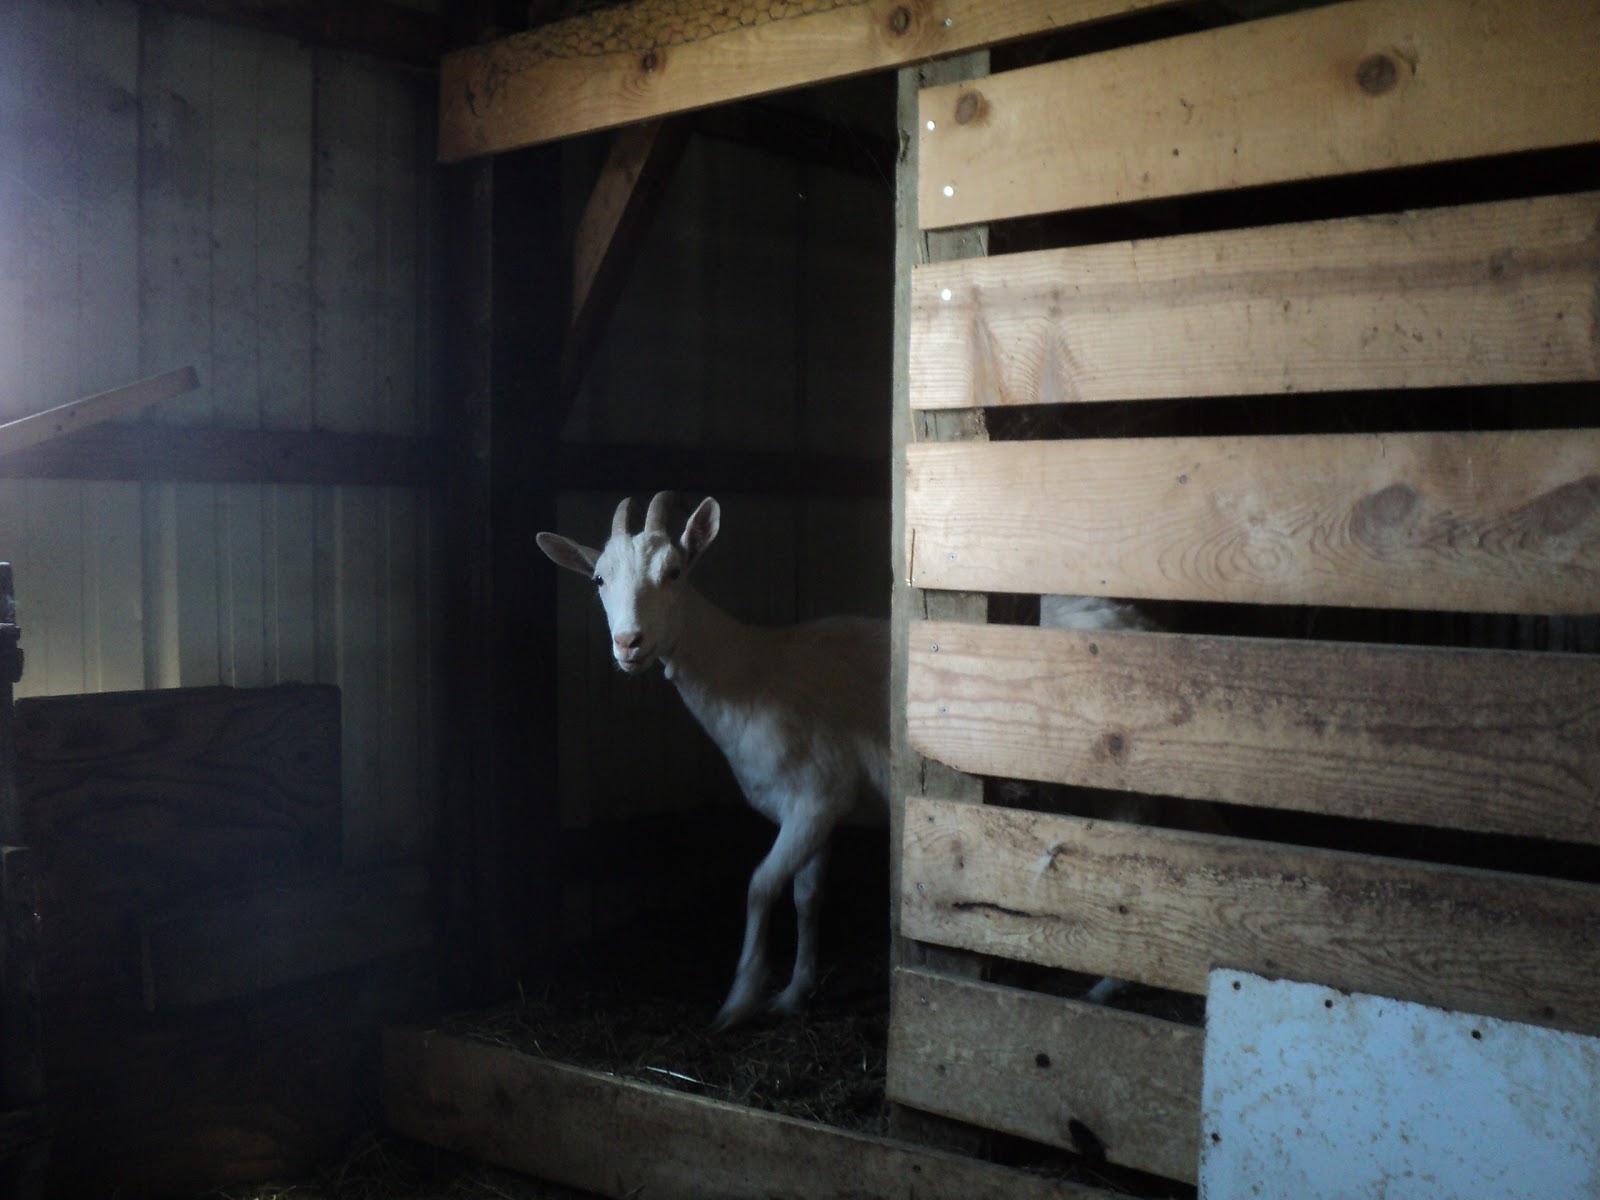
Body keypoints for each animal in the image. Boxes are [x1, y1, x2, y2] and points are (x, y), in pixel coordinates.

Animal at [537, 492, 889, 1031]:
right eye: (598, 578)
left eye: (675, 571)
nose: (629, 643)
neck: (754, 671)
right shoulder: (816, 806)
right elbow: (806, 895)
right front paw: (793, 994)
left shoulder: (818, 795)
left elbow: (761, 885)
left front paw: (739, 1001)